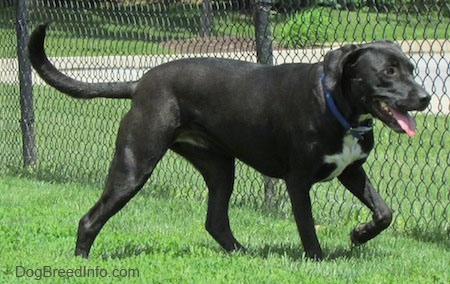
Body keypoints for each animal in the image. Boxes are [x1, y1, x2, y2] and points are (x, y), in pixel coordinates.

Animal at [27, 24, 428, 260]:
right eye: (388, 71)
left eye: (411, 68)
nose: (424, 98)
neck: (334, 104)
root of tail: (139, 84)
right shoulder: (298, 181)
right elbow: (307, 228)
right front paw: (317, 260)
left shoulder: (351, 170)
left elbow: (385, 212)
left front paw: (360, 234)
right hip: (134, 164)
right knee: (90, 217)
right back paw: (81, 258)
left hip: (220, 168)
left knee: (216, 221)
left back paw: (242, 253)